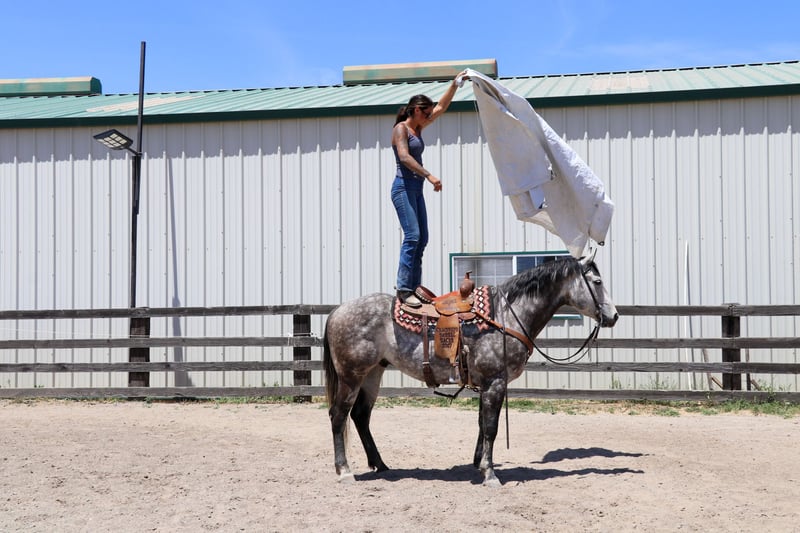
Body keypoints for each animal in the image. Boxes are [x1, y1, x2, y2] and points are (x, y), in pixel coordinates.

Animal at [323, 253, 618, 486]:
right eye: (597, 282)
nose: (613, 316)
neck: (507, 315)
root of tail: (337, 311)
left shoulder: (486, 384)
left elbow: (481, 424)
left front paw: (479, 464)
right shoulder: (495, 382)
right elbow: (491, 427)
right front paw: (490, 474)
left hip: (373, 374)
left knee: (361, 416)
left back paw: (380, 464)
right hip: (351, 376)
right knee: (339, 416)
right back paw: (344, 471)